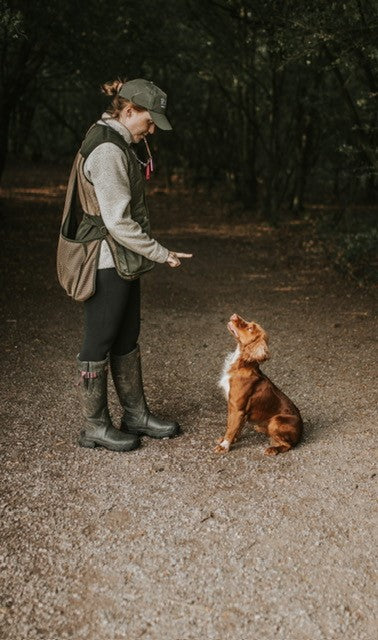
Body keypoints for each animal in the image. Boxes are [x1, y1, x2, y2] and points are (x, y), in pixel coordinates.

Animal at [217, 316, 302, 456]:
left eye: (250, 329)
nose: (234, 316)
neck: (241, 365)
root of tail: (302, 431)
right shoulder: (235, 408)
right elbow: (234, 426)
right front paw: (229, 440)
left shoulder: (237, 408)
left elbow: (231, 428)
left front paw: (224, 446)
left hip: (276, 420)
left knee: (288, 445)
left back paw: (273, 449)